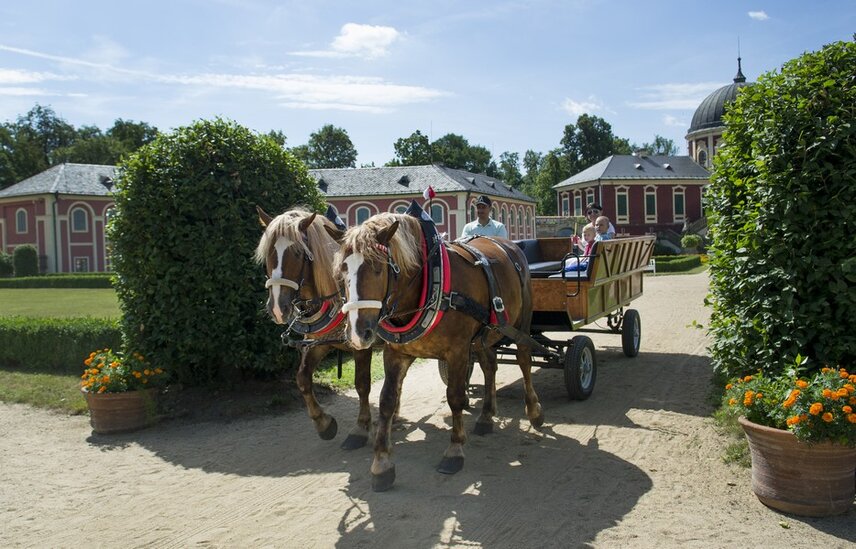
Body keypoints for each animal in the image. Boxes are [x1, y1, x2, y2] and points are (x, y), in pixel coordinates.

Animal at [254, 206, 374, 450]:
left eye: (298, 253)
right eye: (268, 254)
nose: (277, 307)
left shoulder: (362, 345)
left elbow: (362, 384)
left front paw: (361, 427)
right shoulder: (319, 343)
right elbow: (302, 379)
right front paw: (323, 423)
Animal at [333, 209, 544, 491]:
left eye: (378, 269)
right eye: (341, 271)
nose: (358, 333)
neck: (430, 284)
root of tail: (509, 244)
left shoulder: (457, 351)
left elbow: (455, 397)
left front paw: (454, 450)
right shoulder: (395, 353)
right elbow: (387, 400)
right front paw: (381, 463)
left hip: (521, 320)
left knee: (524, 359)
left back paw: (534, 410)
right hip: (484, 334)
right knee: (490, 365)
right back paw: (486, 416)